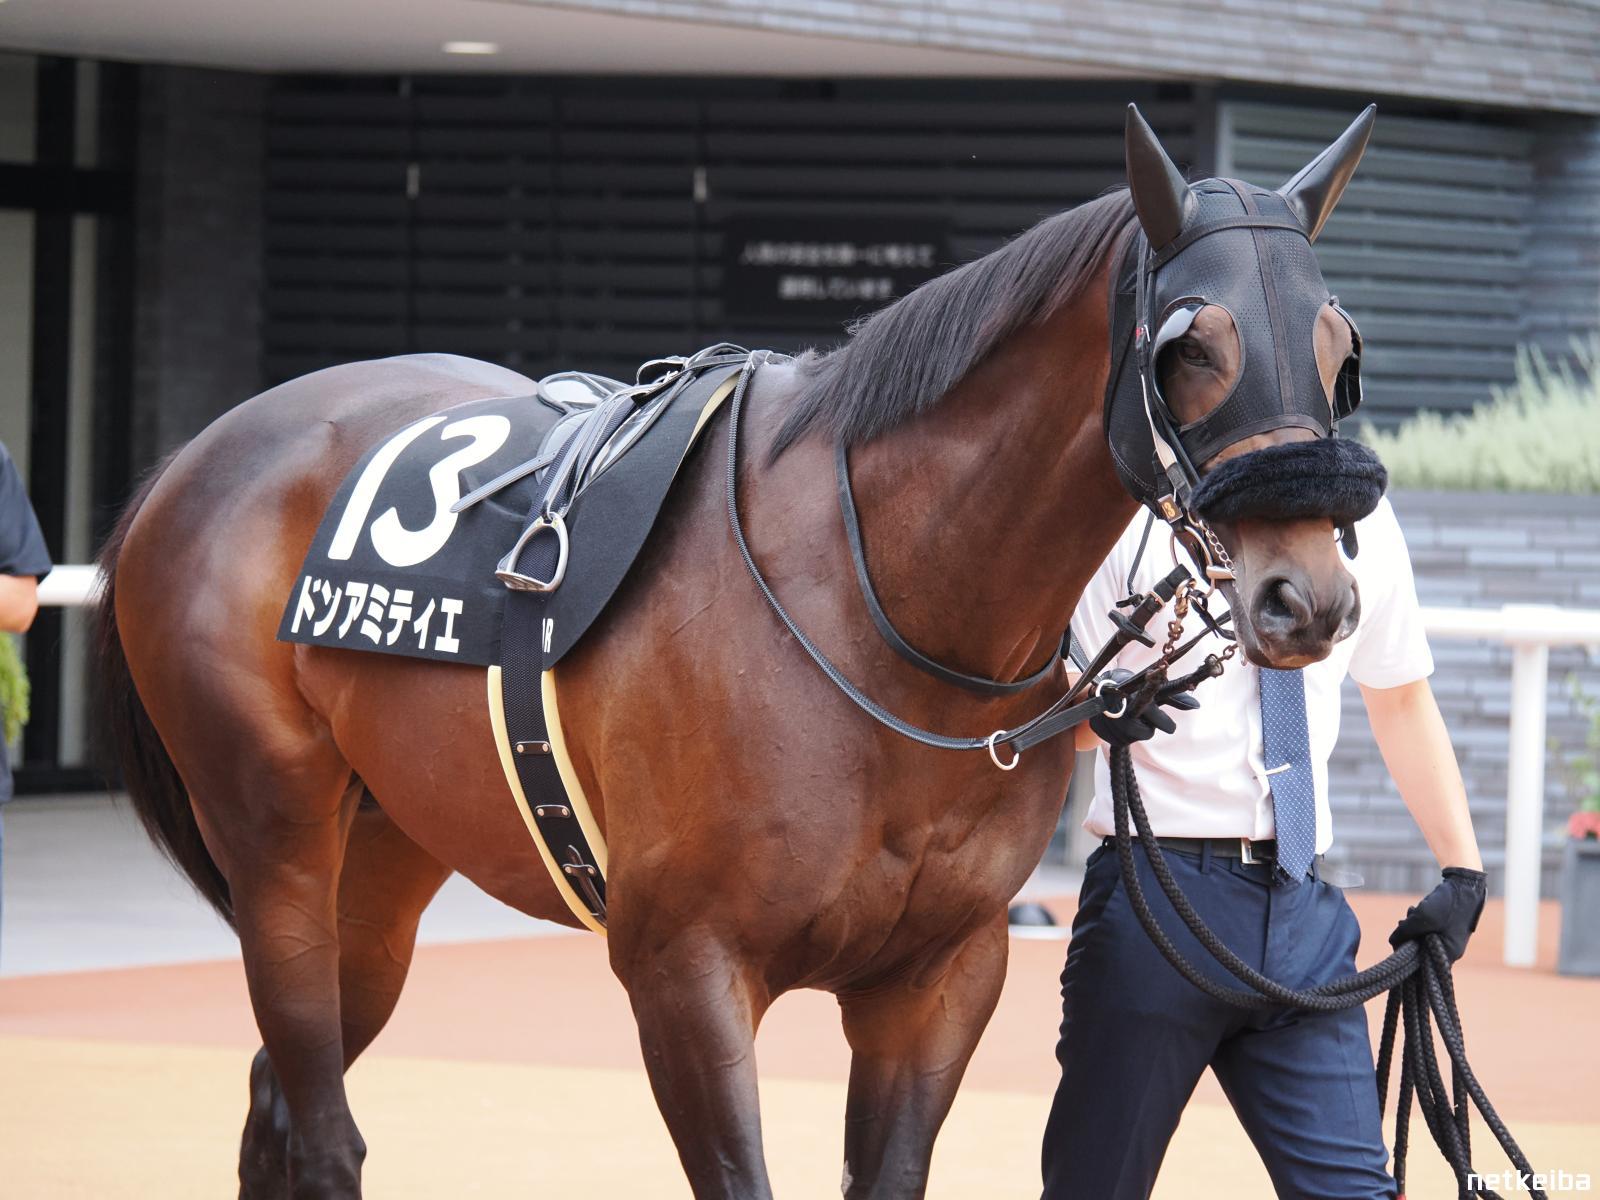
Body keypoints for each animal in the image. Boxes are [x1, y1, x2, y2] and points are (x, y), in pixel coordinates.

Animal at [94, 107, 1373, 1198]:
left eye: (1338, 345)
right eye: (1189, 347)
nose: (1303, 598)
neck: (877, 618)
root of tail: (199, 456)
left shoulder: (940, 976)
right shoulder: (685, 972)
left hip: (390, 851)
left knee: (279, 1101)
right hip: (278, 839)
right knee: (316, 1124)